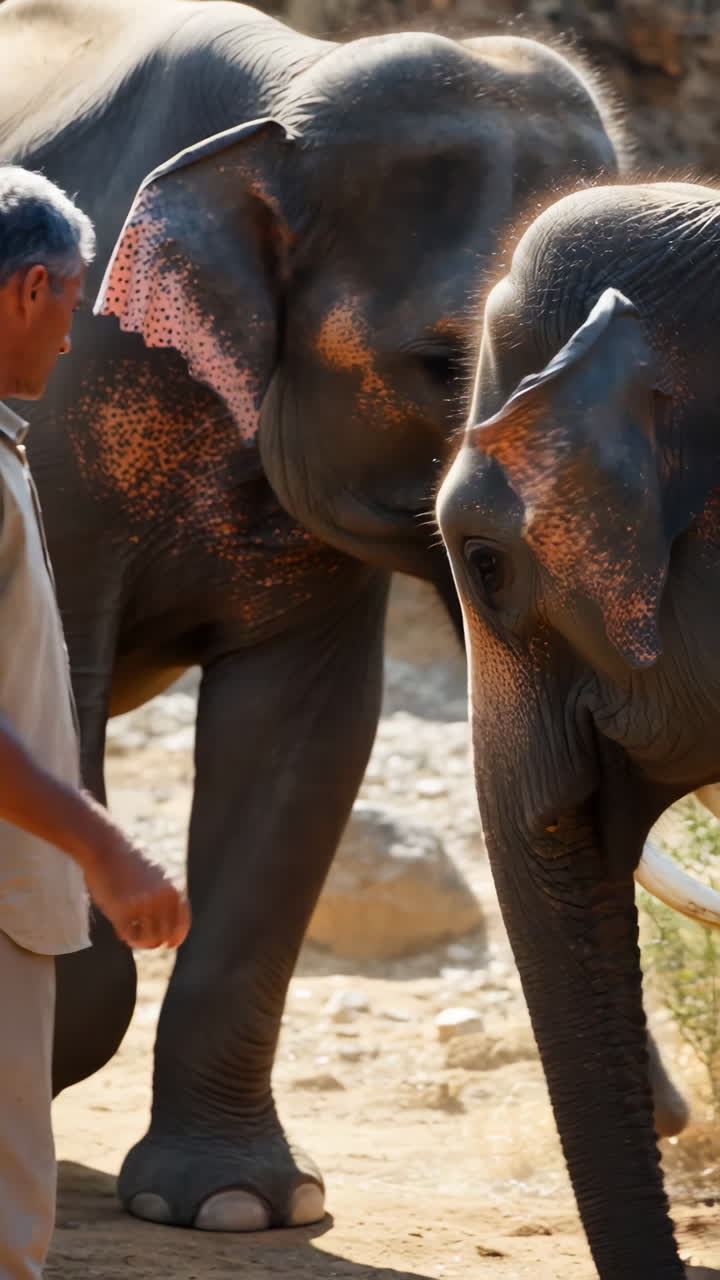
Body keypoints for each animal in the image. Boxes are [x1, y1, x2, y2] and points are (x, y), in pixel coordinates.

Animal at [0, 0, 638, 1234]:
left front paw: (238, 1206)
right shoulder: (60, 415)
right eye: (440, 362)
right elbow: (64, 704)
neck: (288, 88)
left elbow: (303, 737)